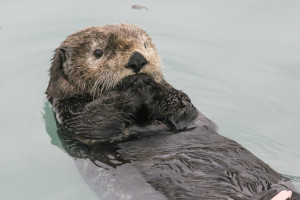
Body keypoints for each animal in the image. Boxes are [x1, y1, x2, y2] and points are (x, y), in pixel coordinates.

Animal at [45, 24, 298, 199]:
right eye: (98, 52)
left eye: (144, 45)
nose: (137, 59)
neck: (141, 117)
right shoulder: (69, 114)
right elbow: (93, 121)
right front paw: (133, 85)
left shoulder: (187, 114)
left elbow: (184, 108)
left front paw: (151, 85)